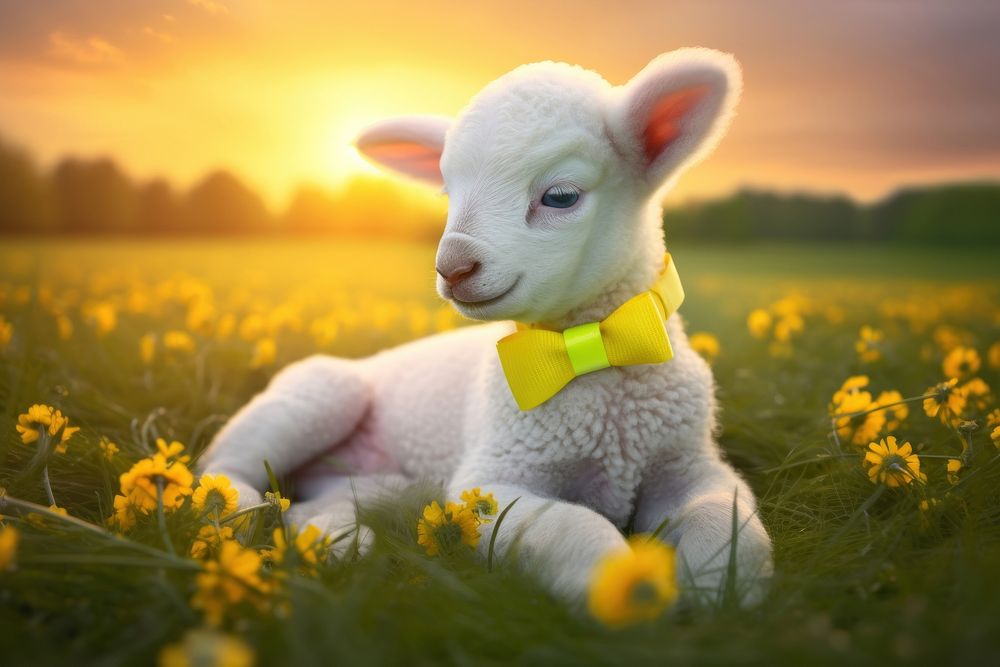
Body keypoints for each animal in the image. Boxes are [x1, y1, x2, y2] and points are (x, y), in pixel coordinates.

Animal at [197, 49, 772, 608]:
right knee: (225, 462)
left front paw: (722, 587)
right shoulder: (492, 482)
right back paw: (235, 512)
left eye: (561, 195)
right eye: (448, 193)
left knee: (307, 506)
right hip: (318, 393)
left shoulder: (689, 462)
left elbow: (725, 515)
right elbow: (573, 528)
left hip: (383, 484)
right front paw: (627, 589)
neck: (589, 354)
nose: (452, 267)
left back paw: (336, 546)